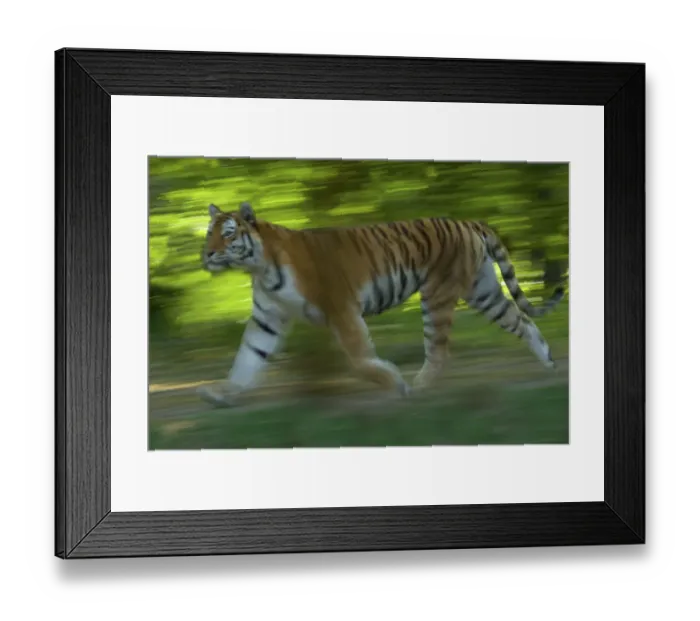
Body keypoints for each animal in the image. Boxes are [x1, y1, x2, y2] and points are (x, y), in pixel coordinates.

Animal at [196, 201, 565, 407]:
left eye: (228, 234)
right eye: (209, 233)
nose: (208, 254)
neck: (258, 267)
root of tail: (467, 221)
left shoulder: (340, 308)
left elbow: (359, 360)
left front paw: (394, 382)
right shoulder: (267, 319)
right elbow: (247, 359)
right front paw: (222, 393)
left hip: (438, 294)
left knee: (439, 349)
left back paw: (418, 387)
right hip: (483, 291)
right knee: (522, 321)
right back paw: (549, 364)